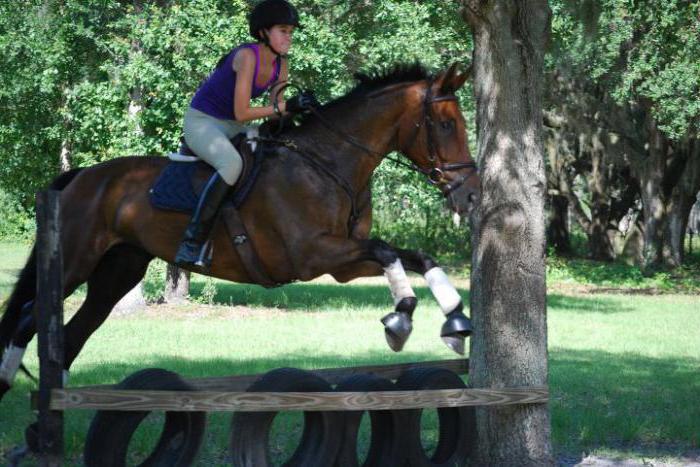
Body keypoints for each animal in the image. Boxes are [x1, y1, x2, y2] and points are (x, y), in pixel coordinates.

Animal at [0, 62, 478, 402]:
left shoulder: (342, 262)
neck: (329, 163)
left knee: (75, 331)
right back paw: (13, 386)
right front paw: (401, 318)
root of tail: (81, 177)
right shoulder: (313, 255)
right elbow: (387, 252)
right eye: (446, 124)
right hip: (76, 261)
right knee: (28, 317)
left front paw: (454, 321)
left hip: (119, 269)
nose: (469, 194)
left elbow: (415, 256)